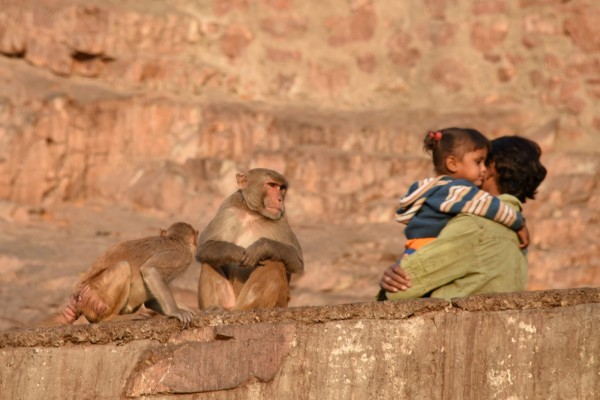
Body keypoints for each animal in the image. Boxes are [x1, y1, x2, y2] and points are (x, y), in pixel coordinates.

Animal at [53, 222, 198, 328]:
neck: (175, 239)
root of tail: (78, 300)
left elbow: (150, 301)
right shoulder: (180, 256)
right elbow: (150, 270)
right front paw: (176, 311)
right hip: (95, 298)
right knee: (123, 267)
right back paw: (111, 318)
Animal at [198, 167, 304, 310]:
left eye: (281, 188)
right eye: (271, 185)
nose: (280, 199)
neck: (253, 213)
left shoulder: (281, 217)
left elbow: (297, 261)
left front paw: (260, 248)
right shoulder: (228, 209)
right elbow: (204, 246)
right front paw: (235, 252)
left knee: (275, 261)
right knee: (208, 261)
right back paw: (217, 308)